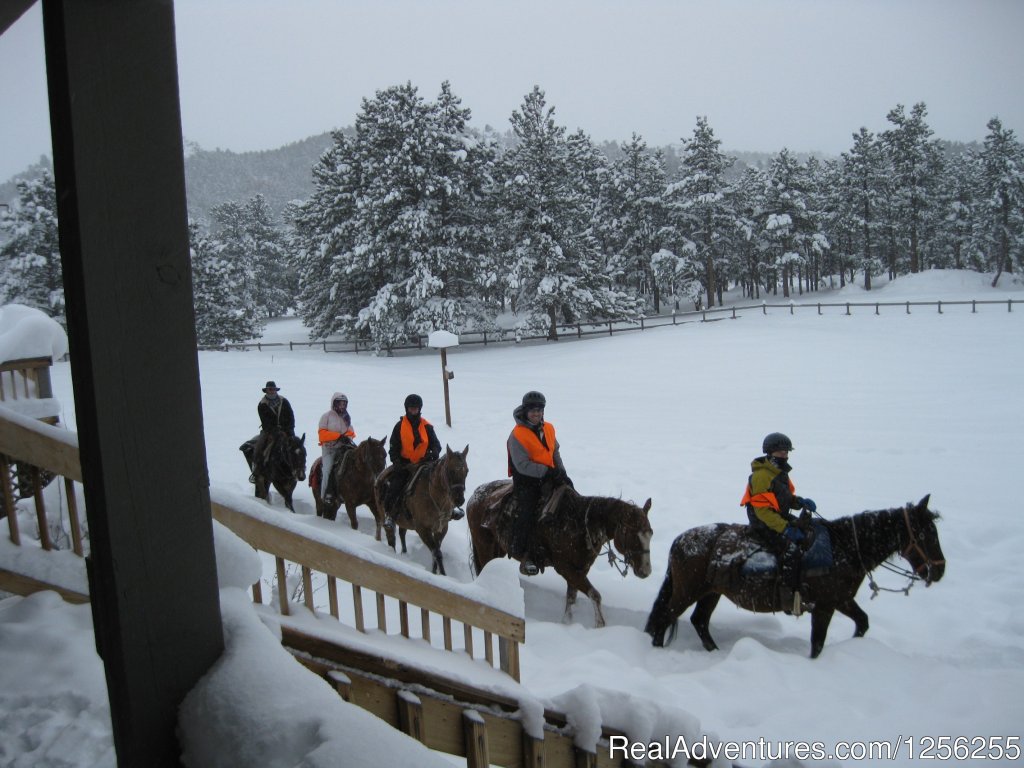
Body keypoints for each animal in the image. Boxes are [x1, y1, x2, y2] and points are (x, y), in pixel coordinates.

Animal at [372, 444, 468, 577]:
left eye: (466, 471)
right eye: (450, 471)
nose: (459, 500)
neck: (433, 496)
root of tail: (381, 476)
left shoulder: (442, 528)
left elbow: (436, 552)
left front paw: (435, 572)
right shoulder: (423, 529)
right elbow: (437, 553)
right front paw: (443, 575)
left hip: (403, 520)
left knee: (402, 533)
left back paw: (404, 553)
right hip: (384, 515)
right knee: (391, 537)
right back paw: (392, 553)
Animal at [468, 481, 651, 630]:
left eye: (650, 533)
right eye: (631, 533)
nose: (645, 571)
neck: (578, 524)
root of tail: (474, 496)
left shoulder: (580, 569)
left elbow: (571, 597)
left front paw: (567, 624)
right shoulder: (565, 568)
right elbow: (595, 594)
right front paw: (600, 625)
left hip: (498, 549)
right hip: (484, 547)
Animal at [643, 495, 946, 659]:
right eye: (924, 533)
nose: (940, 569)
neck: (844, 547)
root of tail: (681, 540)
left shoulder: (841, 600)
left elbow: (863, 622)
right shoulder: (824, 607)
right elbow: (818, 644)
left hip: (710, 593)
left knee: (699, 621)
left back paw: (714, 650)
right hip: (687, 591)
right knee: (665, 617)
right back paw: (657, 650)